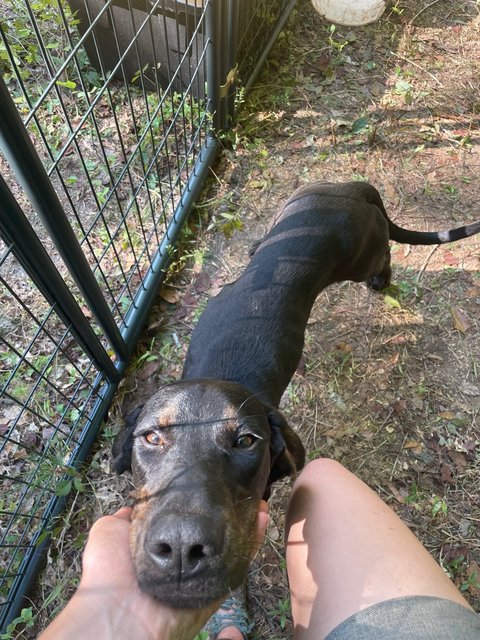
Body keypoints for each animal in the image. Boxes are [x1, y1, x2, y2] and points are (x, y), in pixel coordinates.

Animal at [113, 181, 480, 608]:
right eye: (151, 437)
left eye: (247, 441)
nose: (182, 547)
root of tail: (351, 187)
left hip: (365, 255)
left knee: (385, 255)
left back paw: (382, 280)